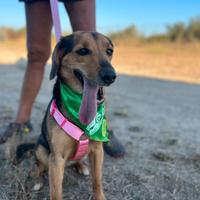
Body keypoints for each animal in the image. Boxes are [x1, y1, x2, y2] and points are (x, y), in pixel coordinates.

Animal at [15, 31, 116, 200]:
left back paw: (81, 166)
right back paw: (37, 179)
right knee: (39, 165)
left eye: (109, 51)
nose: (111, 76)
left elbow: (97, 181)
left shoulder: (97, 151)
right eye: (83, 51)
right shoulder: (56, 158)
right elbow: (56, 192)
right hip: (42, 148)